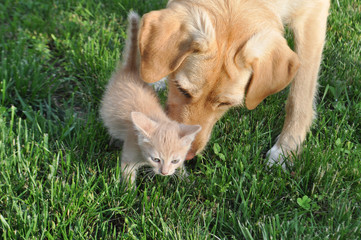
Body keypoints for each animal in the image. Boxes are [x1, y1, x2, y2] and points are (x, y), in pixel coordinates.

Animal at [99, 12, 200, 186]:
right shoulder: (129, 155)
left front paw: (186, 180)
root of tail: (131, 71)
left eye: (174, 160)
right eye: (156, 159)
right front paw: (127, 192)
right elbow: (128, 175)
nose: (164, 173)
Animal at [138, 0, 330, 168]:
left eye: (225, 103)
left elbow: (299, 97)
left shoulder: (312, 13)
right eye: (181, 89)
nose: (187, 156)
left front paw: (287, 148)